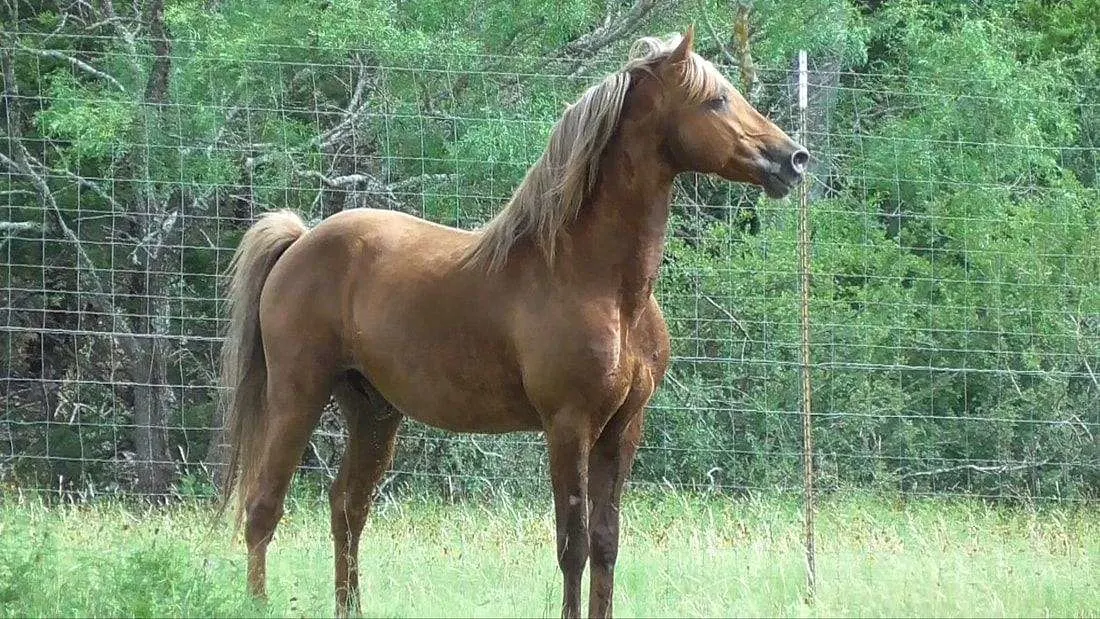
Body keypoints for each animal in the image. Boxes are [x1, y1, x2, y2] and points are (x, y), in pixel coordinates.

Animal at [218, 27, 806, 618]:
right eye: (716, 100)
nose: (793, 159)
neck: (600, 284)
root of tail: (301, 240)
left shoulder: (622, 428)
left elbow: (606, 543)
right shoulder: (569, 426)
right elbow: (572, 545)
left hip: (373, 412)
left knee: (346, 508)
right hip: (298, 396)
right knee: (264, 507)